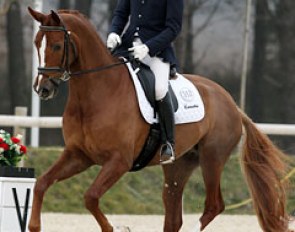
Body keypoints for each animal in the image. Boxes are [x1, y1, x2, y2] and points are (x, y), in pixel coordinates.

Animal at [28, 7, 290, 232]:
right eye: (36, 44)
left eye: (57, 45)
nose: (42, 89)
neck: (96, 94)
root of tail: (232, 104)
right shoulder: (79, 155)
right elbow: (41, 183)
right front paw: (34, 226)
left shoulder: (119, 161)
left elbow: (90, 197)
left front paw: (117, 228)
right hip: (178, 165)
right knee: (173, 217)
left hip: (212, 158)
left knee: (214, 205)